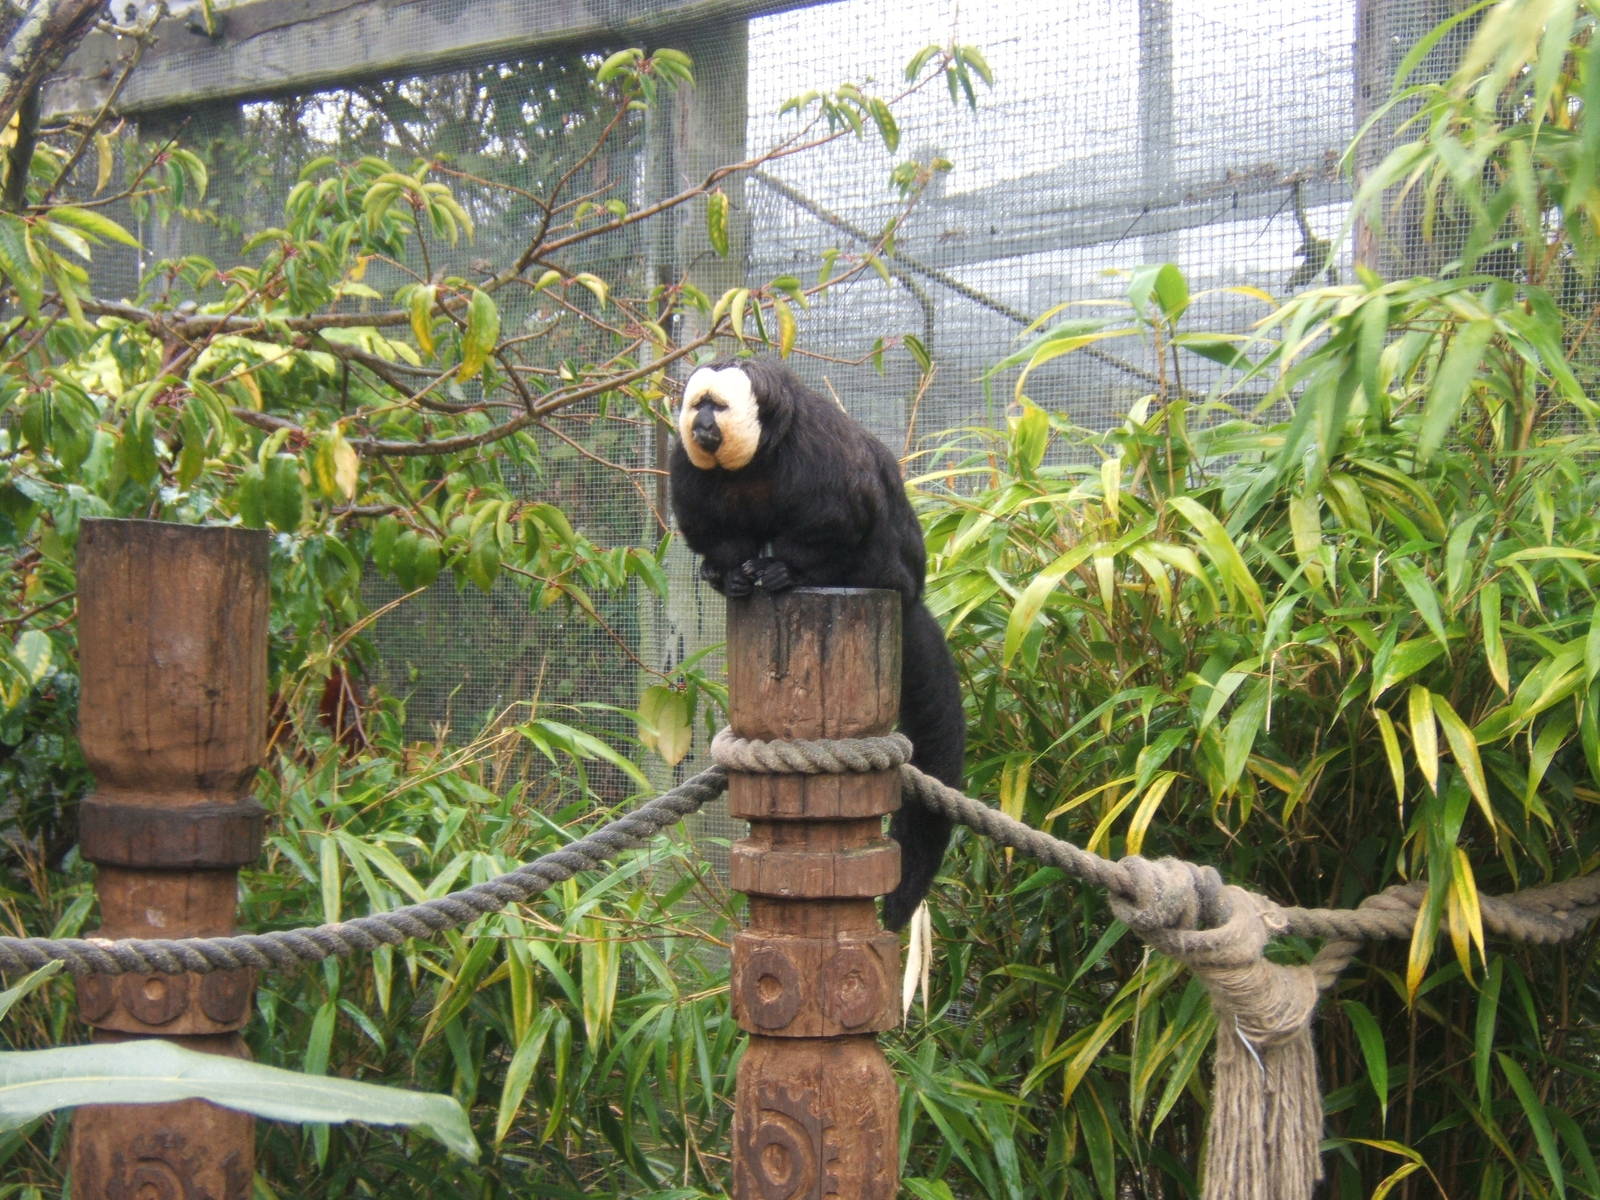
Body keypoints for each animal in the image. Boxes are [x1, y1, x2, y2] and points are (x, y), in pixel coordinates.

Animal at [668, 358, 965, 929]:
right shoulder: (686, 464)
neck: (754, 462)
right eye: (699, 405)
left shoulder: (817, 452)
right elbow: (717, 533)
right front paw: (732, 574)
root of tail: (909, 594)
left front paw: (783, 569)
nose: (704, 424)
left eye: (718, 406)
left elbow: (841, 516)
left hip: (889, 572)